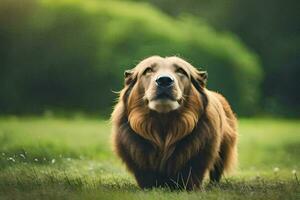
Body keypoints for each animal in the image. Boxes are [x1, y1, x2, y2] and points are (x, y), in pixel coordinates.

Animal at [111, 55, 238, 190]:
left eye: (181, 71)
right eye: (148, 70)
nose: (164, 80)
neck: (164, 124)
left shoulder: (200, 156)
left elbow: (193, 173)